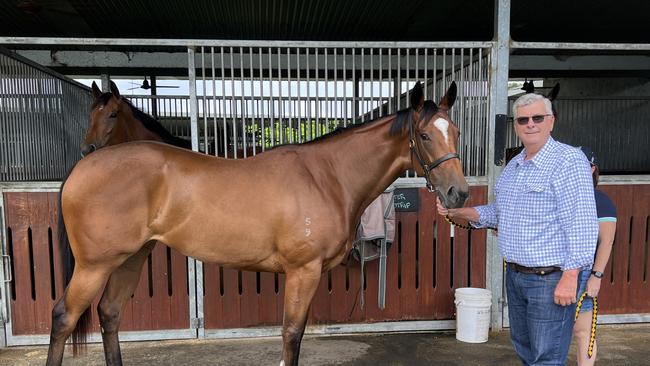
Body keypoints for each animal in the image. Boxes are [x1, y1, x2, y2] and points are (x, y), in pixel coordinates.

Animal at [48, 81, 468, 364]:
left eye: (456, 132)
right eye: (425, 135)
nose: (458, 194)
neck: (327, 176)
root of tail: (84, 167)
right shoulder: (303, 271)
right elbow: (291, 336)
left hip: (131, 258)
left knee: (109, 313)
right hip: (95, 265)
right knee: (64, 317)